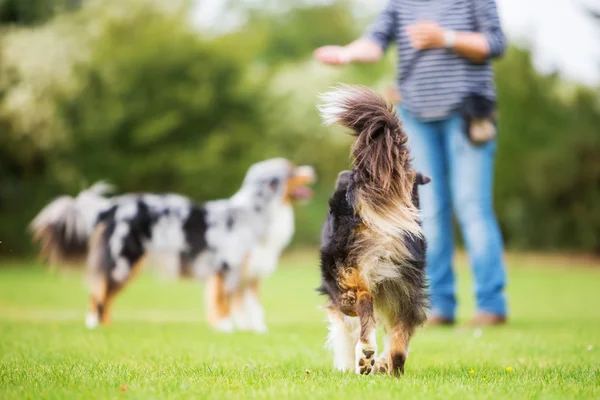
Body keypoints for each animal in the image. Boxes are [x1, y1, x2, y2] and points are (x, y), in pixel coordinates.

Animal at [29, 158, 314, 330]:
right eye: (291, 169)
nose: (313, 170)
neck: (256, 213)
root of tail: (110, 207)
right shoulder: (225, 269)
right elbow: (222, 302)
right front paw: (225, 328)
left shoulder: (251, 276)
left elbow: (252, 309)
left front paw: (254, 331)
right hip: (123, 262)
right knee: (98, 294)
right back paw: (94, 325)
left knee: (104, 296)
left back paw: (107, 325)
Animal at [316, 86, 428, 376]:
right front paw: (381, 364)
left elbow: (344, 329)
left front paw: (349, 362)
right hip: (407, 283)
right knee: (400, 338)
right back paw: (389, 366)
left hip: (348, 275)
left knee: (365, 301)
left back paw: (365, 356)